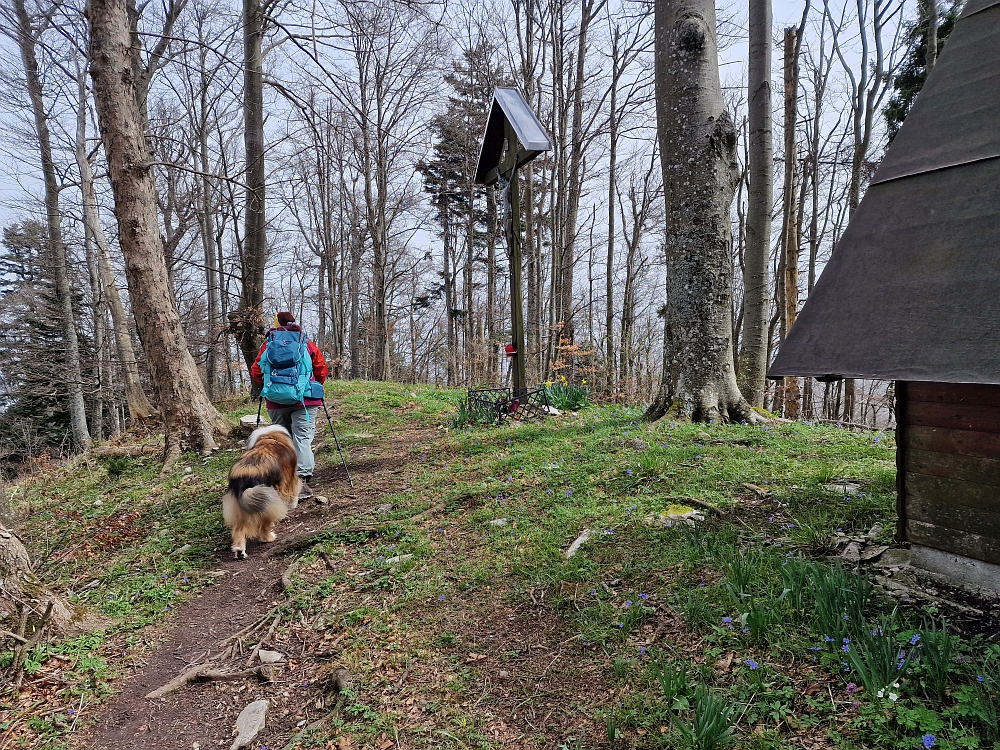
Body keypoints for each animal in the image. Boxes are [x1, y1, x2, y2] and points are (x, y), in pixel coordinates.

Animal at [225, 428, 302, 560]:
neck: (270, 437)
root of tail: (245, 476)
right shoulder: (291, 478)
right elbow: (294, 491)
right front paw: (293, 505)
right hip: (268, 501)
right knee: (264, 526)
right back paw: (269, 538)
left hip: (240, 507)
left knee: (238, 529)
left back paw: (240, 552)